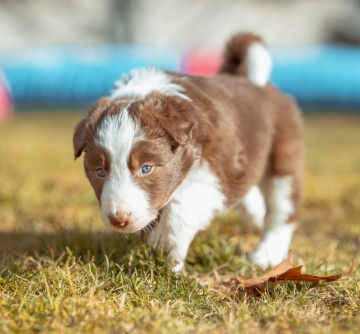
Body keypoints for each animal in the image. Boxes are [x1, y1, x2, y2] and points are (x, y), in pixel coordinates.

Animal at [74, 33, 304, 272]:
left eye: (146, 168)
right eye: (100, 172)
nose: (119, 219)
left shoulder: (220, 175)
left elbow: (180, 210)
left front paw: (168, 256)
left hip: (283, 156)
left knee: (282, 210)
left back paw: (267, 256)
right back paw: (255, 215)